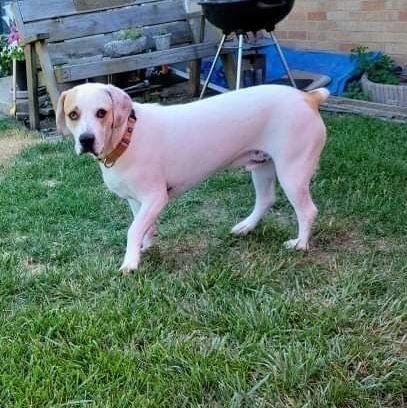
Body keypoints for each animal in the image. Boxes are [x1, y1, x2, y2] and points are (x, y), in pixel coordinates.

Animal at [56, 83, 328, 272]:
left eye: (101, 112)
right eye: (73, 115)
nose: (86, 140)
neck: (127, 135)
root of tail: (308, 97)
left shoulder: (155, 198)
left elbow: (132, 230)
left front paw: (130, 262)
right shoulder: (136, 201)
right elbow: (141, 226)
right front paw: (146, 246)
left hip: (292, 171)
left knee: (307, 210)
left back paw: (300, 244)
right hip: (262, 167)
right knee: (266, 199)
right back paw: (246, 227)